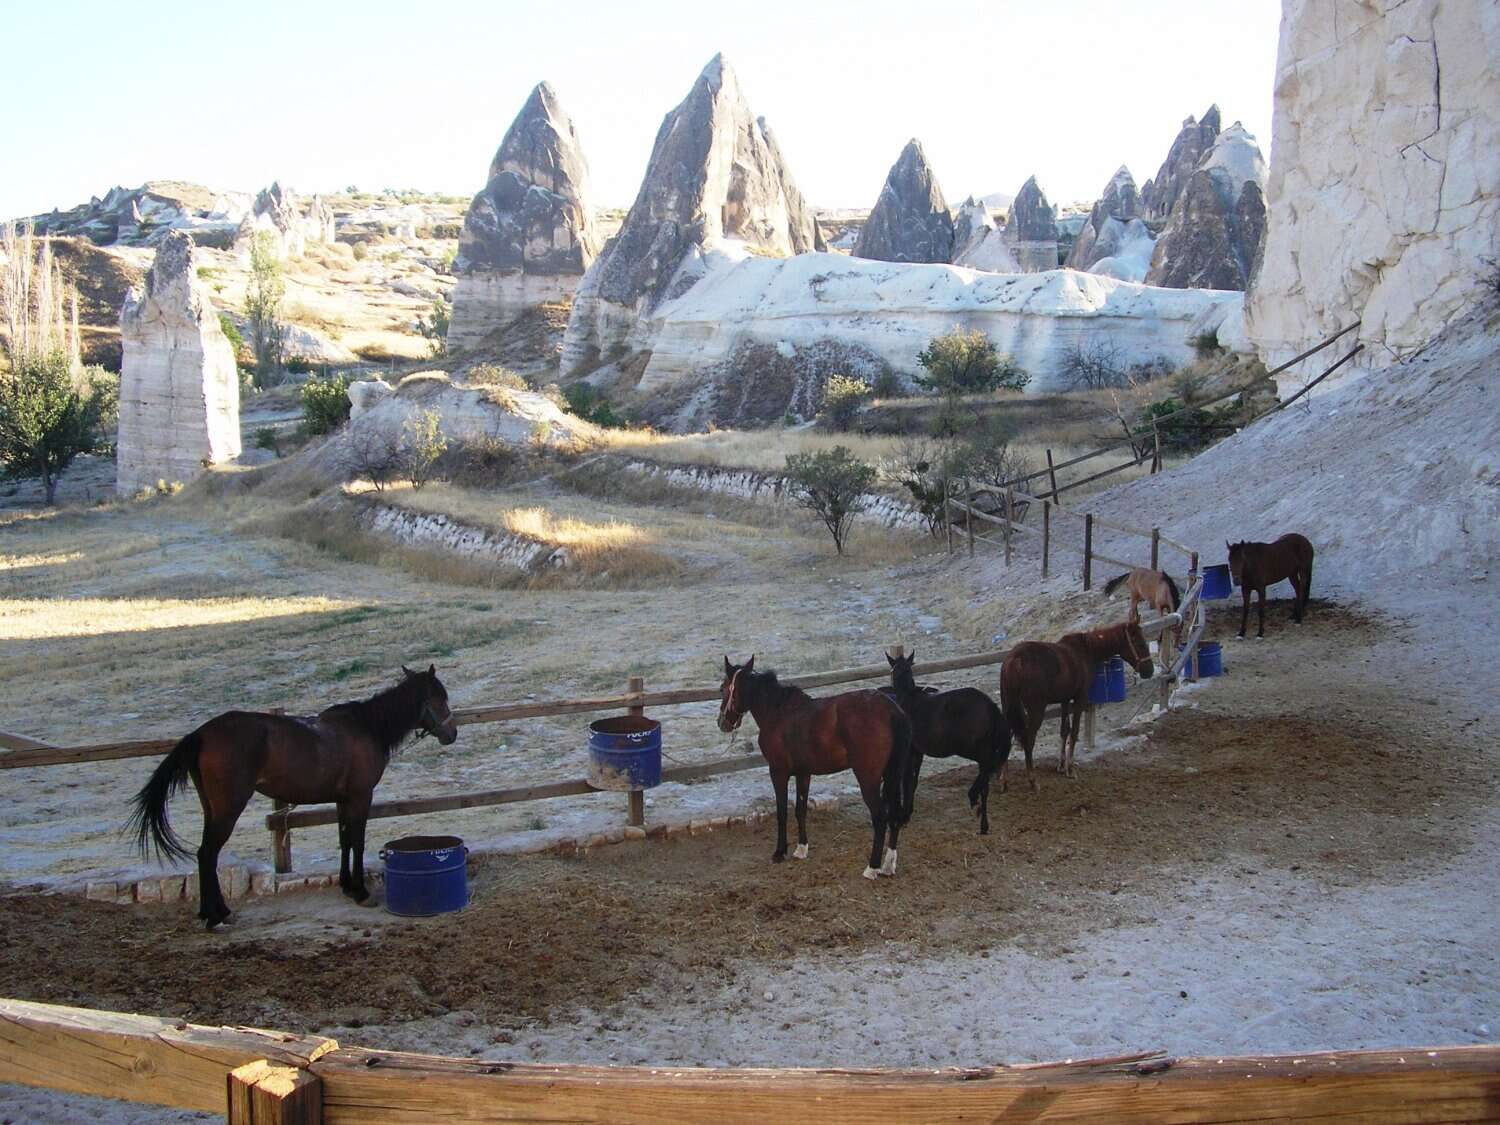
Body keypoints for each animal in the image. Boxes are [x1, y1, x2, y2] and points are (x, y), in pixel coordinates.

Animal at [129, 666, 456, 930]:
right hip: (228, 809)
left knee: (203, 855)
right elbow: (358, 842)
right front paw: (361, 892)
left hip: (211, 808)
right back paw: (217, 915)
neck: (366, 728)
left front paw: (347, 886)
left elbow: (345, 841)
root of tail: (202, 733)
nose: (451, 733)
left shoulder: (342, 800)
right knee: (208, 854)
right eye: (440, 698)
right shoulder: (360, 797)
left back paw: (212, 912)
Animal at [717, 657, 912, 888]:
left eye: (722, 688)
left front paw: (779, 852)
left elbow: (782, 812)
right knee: (894, 815)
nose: (722, 723)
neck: (778, 713)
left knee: (880, 817)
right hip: (892, 776)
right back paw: (888, 865)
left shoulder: (778, 772)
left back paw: (871, 868)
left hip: (869, 779)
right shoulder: (804, 773)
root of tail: (891, 710)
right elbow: (800, 810)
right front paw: (801, 849)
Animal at [882, 651, 1014, 840]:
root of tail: (990, 705)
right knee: (986, 781)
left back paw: (973, 797)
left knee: (986, 767)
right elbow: (913, 781)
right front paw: (909, 812)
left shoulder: (909, 752)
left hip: (969, 747)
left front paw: (904, 816)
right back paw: (983, 823)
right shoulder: (917, 752)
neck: (909, 700)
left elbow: (907, 781)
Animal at [1002, 621, 1152, 786]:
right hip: (1036, 710)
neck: (1085, 651)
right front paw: (1070, 768)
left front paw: (1061, 765)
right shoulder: (1080, 699)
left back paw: (1004, 780)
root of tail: (1015, 659)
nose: (1149, 671)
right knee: (1028, 740)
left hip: (1009, 707)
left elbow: (1064, 730)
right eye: (1140, 644)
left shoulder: (1065, 700)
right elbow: (1074, 732)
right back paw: (1032, 780)